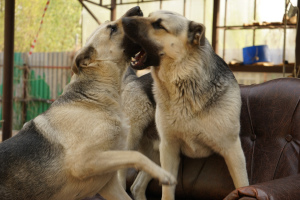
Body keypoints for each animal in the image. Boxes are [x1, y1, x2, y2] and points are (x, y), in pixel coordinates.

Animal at [0, 6, 176, 200]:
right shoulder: (84, 161)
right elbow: (135, 156)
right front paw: (163, 174)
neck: (94, 98)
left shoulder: (109, 184)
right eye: (112, 28)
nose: (137, 8)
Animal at [122, 11, 248, 200]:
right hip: (135, 142)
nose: (123, 20)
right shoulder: (169, 149)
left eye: (159, 25)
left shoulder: (233, 150)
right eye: (148, 16)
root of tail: (134, 80)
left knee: (136, 186)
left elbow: (243, 185)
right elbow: (167, 192)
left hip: (155, 153)